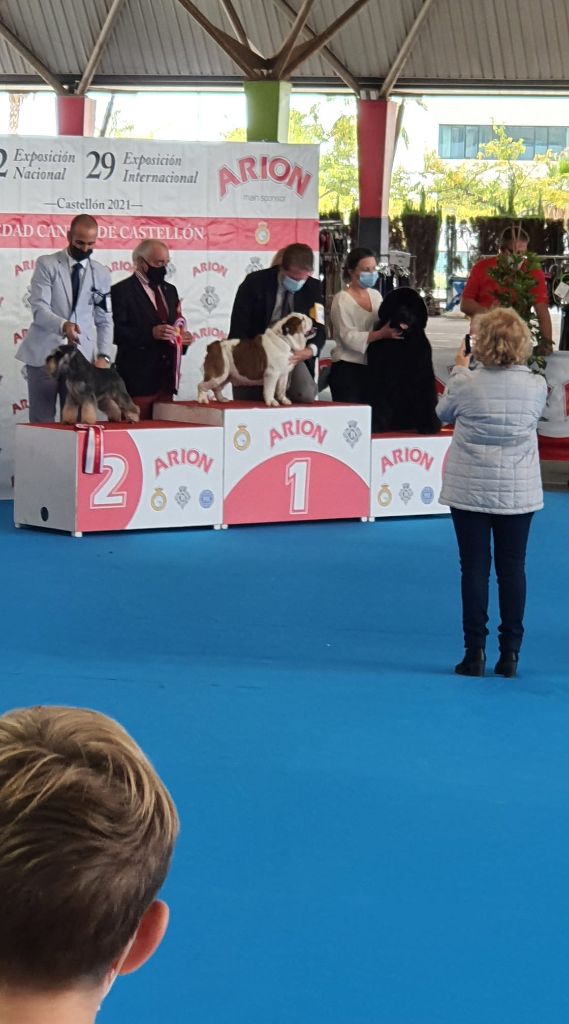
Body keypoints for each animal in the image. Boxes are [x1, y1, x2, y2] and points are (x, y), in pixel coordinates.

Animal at [366, 286, 442, 434]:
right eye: (397, 305)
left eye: (411, 307)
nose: (403, 313)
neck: (402, 342)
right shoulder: (379, 373)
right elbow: (378, 400)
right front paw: (376, 424)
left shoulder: (422, 373)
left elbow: (425, 398)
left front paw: (429, 425)